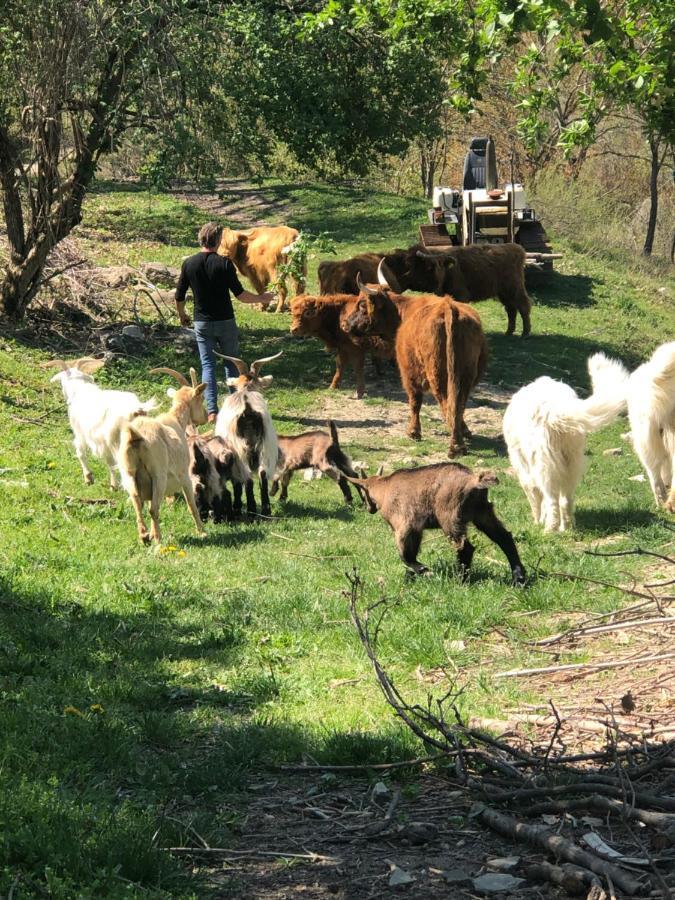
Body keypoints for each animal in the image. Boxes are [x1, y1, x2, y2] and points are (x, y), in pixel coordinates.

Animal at [117, 368, 209, 548]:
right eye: (201, 398)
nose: (206, 416)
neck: (176, 421)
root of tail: (135, 436)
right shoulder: (184, 475)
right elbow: (191, 504)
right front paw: (202, 531)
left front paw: (151, 534)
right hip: (158, 475)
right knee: (153, 509)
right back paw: (159, 541)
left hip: (129, 474)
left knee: (138, 504)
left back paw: (144, 536)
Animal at [215, 354, 282, 520]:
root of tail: (247, 407)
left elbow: (237, 483)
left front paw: (238, 507)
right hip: (265, 446)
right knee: (262, 473)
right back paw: (265, 510)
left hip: (241, 449)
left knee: (247, 478)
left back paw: (250, 511)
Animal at [346, 276, 488, 458]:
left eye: (362, 305)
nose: (346, 324)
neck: (402, 313)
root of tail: (449, 307)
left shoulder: (408, 373)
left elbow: (415, 402)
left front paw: (413, 432)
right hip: (466, 376)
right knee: (459, 404)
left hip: (438, 376)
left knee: (448, 405)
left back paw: (455, 446)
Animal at [504, 352, 632, 532]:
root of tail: (555, 408)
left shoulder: (525, 470)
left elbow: (535, 498)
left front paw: (537, 521)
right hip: (571, 462)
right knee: (565, 500)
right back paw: (567, 528)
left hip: (546, 466)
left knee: (552, 500)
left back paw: (549, 530)